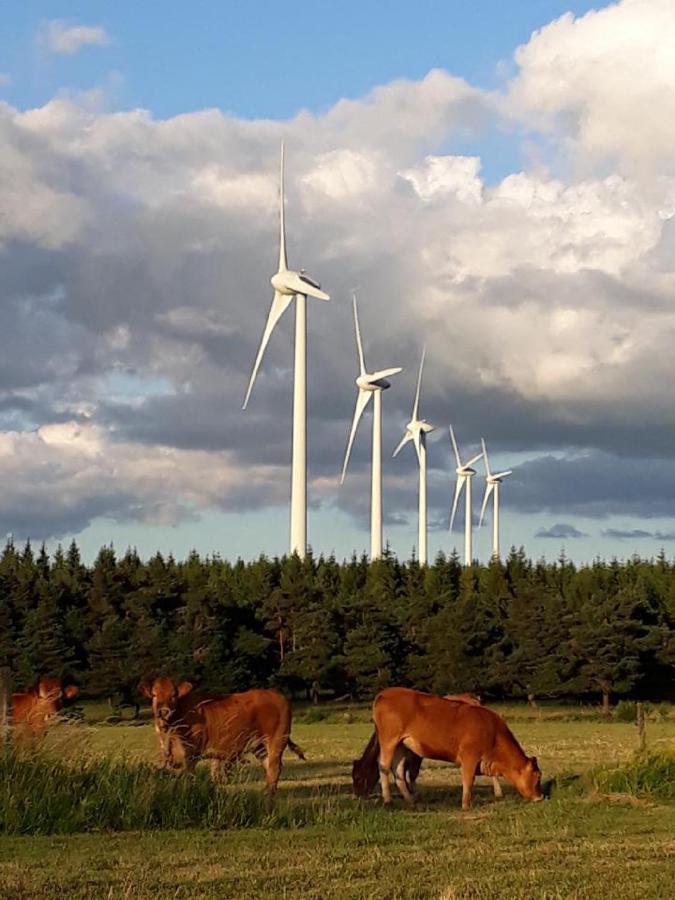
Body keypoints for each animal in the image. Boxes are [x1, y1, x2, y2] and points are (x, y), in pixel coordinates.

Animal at [141, 676, 304, 796]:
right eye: (154, 695)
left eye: (174, 695)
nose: (164, 711)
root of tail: (275, 693)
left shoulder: (190, 754)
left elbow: (189, 777)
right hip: (258, 745)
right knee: (268, 765)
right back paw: (266, 791)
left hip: (277, 739)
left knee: (275, 766)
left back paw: (269, 794)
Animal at [354, 692, 502, 800]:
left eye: (358, 777)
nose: (357, 796)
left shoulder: (416, 754)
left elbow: (412, 773)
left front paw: (415, 792)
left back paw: (498, 791)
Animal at [372, 688, 540, 808]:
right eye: (537, 777)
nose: (540, 797)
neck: (493, 733)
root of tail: (384, 693)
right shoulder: (470, 756)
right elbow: (468, 779)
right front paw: (466, 805)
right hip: (389, 740)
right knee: (384, 766)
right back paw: (388, 800)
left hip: (402, 744)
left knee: (398, 770)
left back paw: (410, 800)